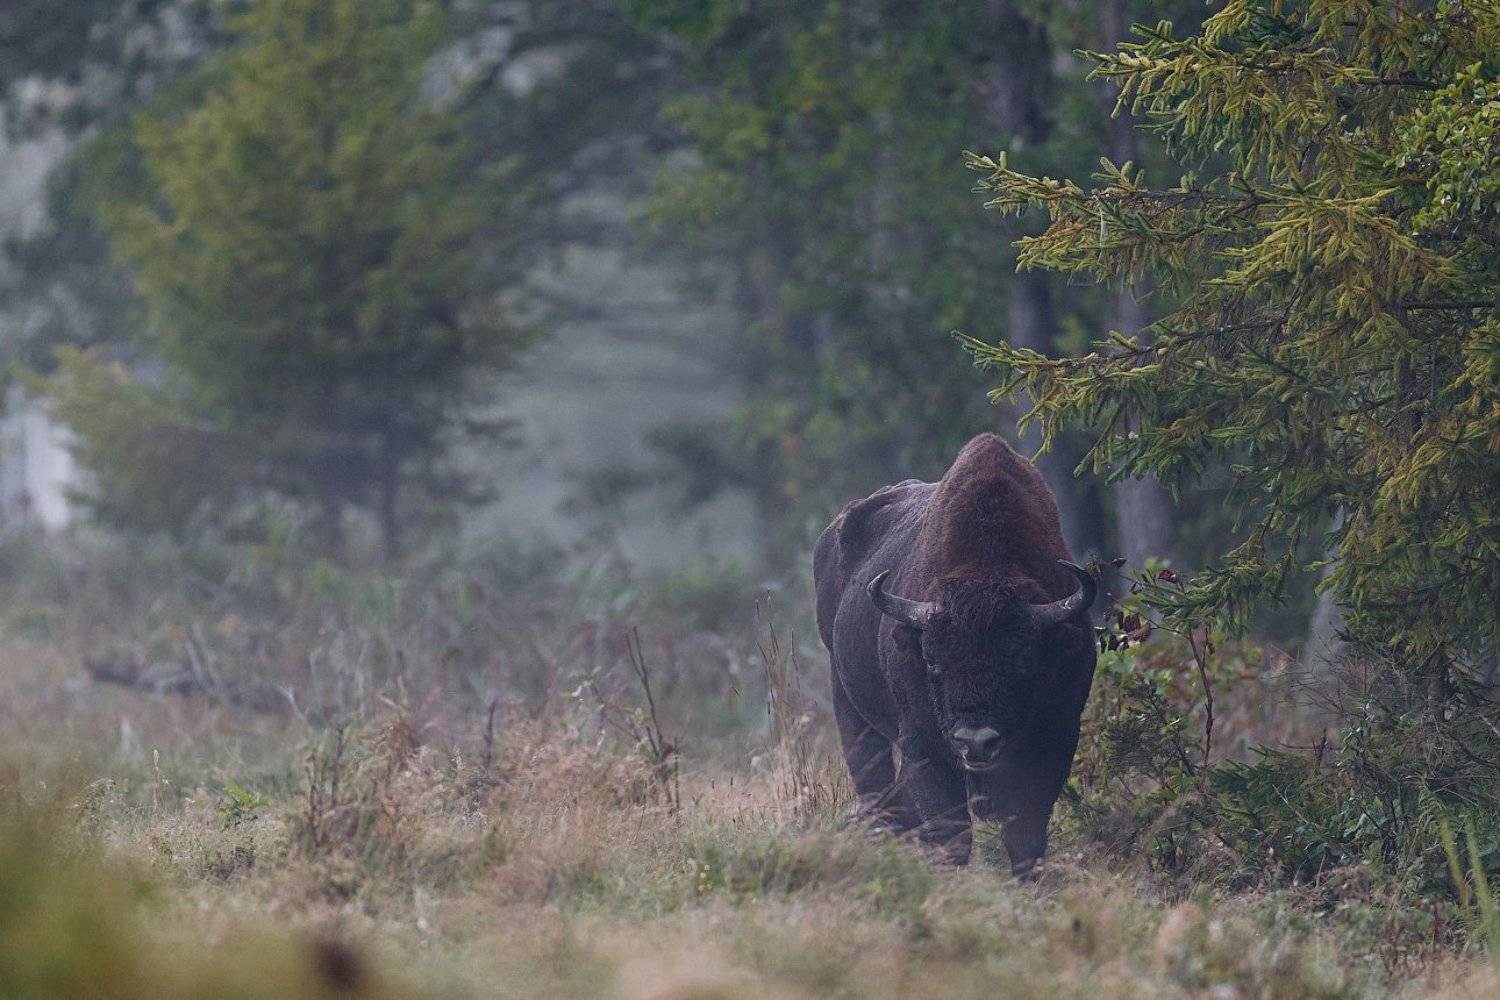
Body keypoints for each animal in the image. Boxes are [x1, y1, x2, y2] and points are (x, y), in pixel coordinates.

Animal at [813, 433, 1097, 875]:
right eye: (932, 661)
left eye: (1025, 661)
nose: (975, 742)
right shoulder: (924, 748)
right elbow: (950, 834)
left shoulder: (1056, 739)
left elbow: (1025, 837)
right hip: (848, 705)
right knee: (874, 786)